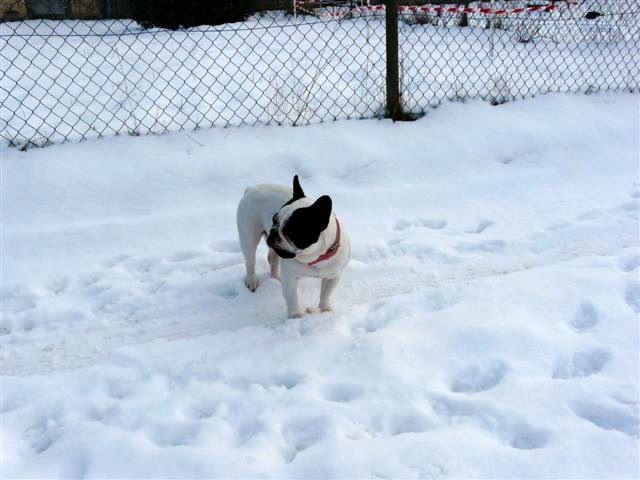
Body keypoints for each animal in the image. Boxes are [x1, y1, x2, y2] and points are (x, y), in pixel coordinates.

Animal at [236, 174, 350, 316]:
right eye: (274, 220)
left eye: (290, 231)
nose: (273, 230)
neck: (314, 257)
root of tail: (250, 189)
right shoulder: (291, 277)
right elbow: (292, 297)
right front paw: (296, 316)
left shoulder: (333, 277)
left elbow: (326, 294)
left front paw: (325, 310)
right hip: (249, 237)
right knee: (250, 262)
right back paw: (252, 281)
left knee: (273, 259)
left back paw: (276, 278)